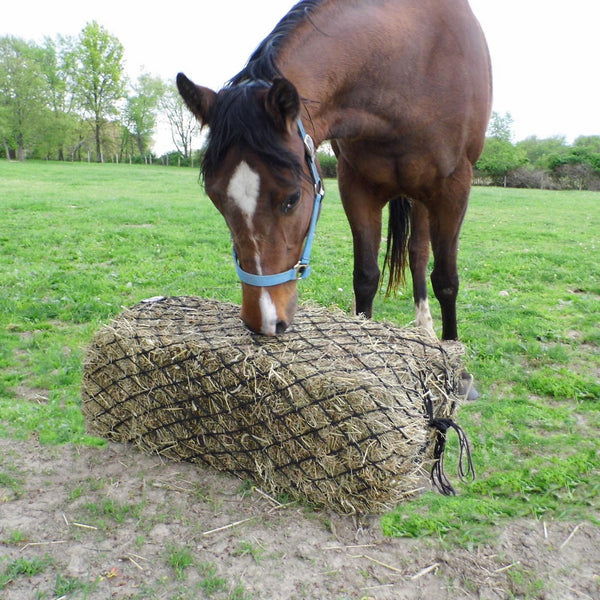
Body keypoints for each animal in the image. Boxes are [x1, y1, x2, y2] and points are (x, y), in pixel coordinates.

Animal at [176, 0, 490, 338]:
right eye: (215, 197)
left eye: (292, 199)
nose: (264, 321)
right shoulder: (356, 186)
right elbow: (365, 277)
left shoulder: (453, 189)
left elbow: (446, 282)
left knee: (418, 254)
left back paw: (426, 326)